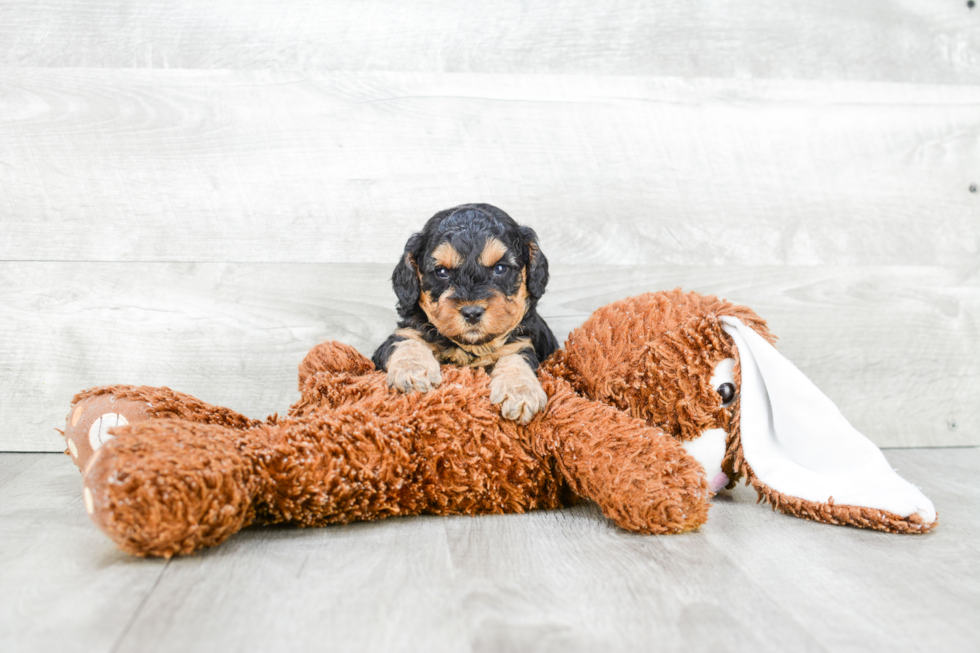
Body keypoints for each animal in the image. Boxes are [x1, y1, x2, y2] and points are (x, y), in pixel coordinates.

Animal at [372, 206, 560, 426]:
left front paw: (520, 394)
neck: (472, 347)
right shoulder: (406, 332)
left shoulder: (519, 345)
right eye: (441, 272)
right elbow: (407, 342)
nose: (472, 313)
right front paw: (413, 371)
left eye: (500, 268)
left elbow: (515, 359)